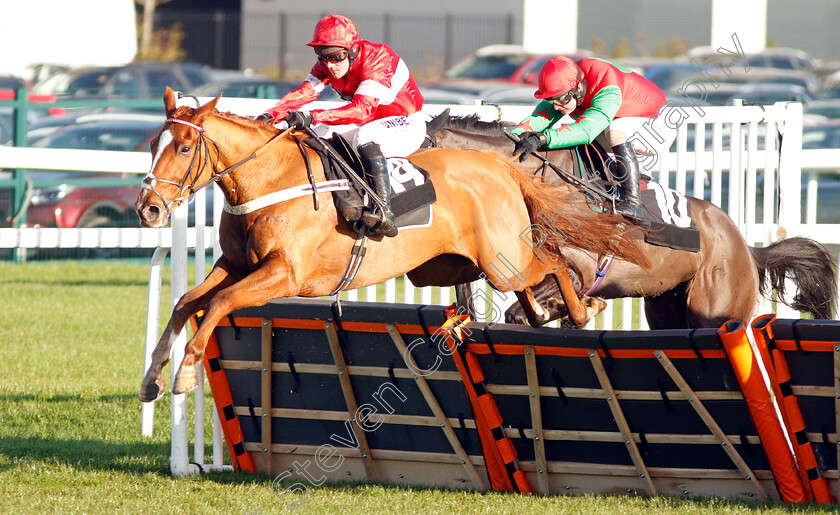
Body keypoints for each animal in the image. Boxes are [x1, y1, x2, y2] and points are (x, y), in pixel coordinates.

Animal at [136, 87, 648, 400]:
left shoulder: (285, 274)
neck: (271, 180)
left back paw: (581, 310)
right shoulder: (237, 265)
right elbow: (187, 302)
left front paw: (186, 371)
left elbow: (220, 303)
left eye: (185, 148)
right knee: (535, 281)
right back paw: (546, 312)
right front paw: (152, 376)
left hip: (504, 260)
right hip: (455, 265)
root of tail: (499, 165)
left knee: (554, 263)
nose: (149, 209)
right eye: (153, 143)